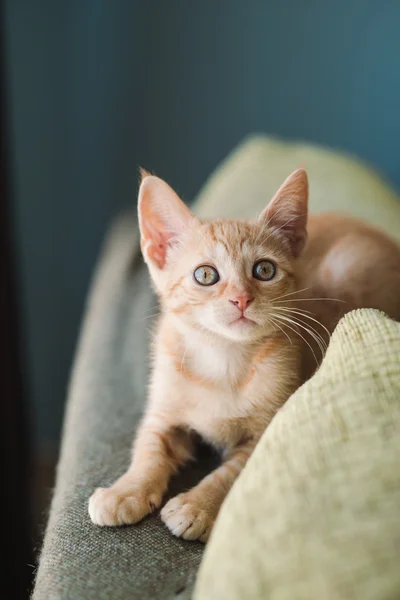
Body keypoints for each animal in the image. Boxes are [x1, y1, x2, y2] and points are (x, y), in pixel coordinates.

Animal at [89, 168, 400, 540]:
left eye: (264, 270)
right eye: (205, 275)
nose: (241, 299)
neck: (222, 360)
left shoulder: (265, 429)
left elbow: (230, 473)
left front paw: (197, 505)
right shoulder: (162, 411)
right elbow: (148, 448)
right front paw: (126, 491)